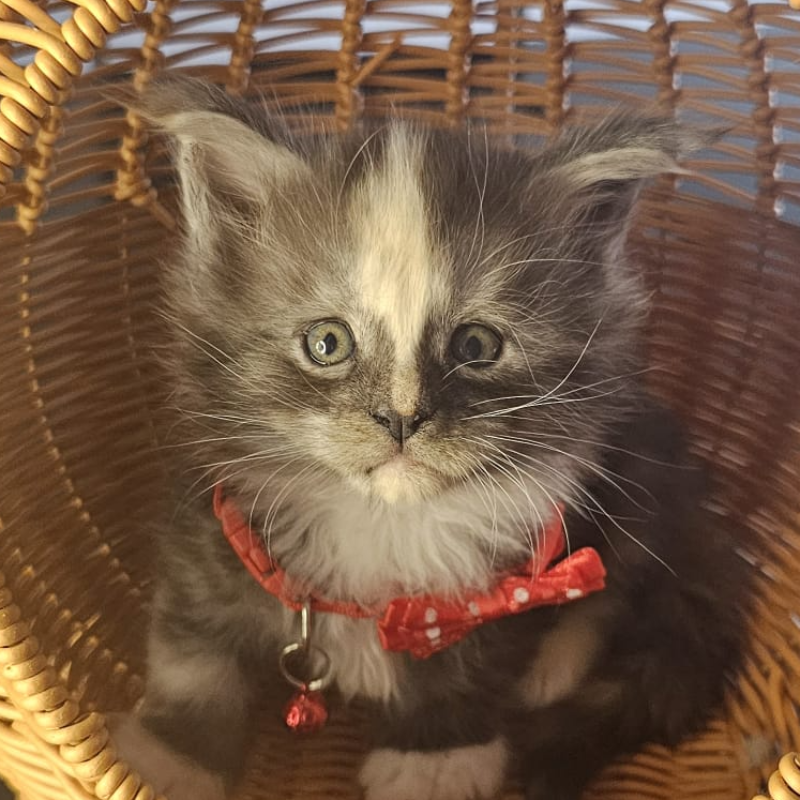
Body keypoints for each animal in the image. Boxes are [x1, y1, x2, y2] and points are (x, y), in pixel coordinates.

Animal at [112, 75, 749, 800]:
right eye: (327, 343)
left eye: (477, 345)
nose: (400, 417)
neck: (381, 523)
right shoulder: (212, 533)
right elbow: (191, 656)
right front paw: (170, 759)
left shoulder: (508, 574)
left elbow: (476, 663)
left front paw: (436, 759)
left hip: (646, 470)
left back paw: (555, 668)